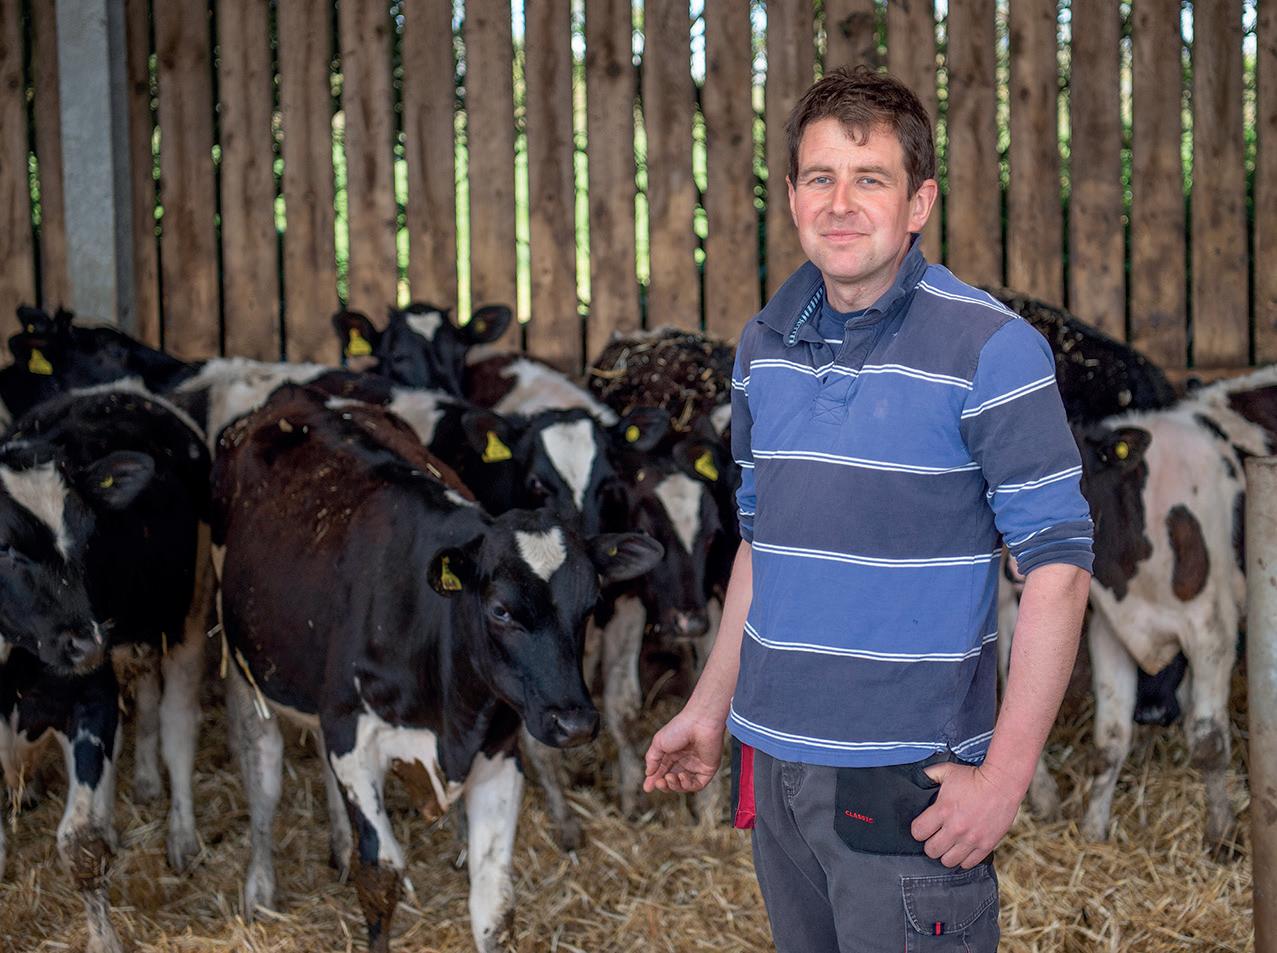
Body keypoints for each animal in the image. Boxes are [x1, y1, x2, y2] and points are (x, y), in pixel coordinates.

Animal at [0, 386, 210, 953]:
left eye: (88, 533)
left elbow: (82, 841)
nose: (86, 640)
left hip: (189, 611)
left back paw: (182, 834)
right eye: (4, 545)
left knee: (177, 725)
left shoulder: (90, 698)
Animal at [212, 384, 662, 952]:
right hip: (245, 670)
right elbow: (380, 876)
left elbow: (494, 903)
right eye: (500, 610)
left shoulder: (499, 754)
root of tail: (298, 396)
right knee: (263, 776)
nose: (575, 723)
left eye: (589, 605)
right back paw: (260, 891)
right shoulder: (354, 737)